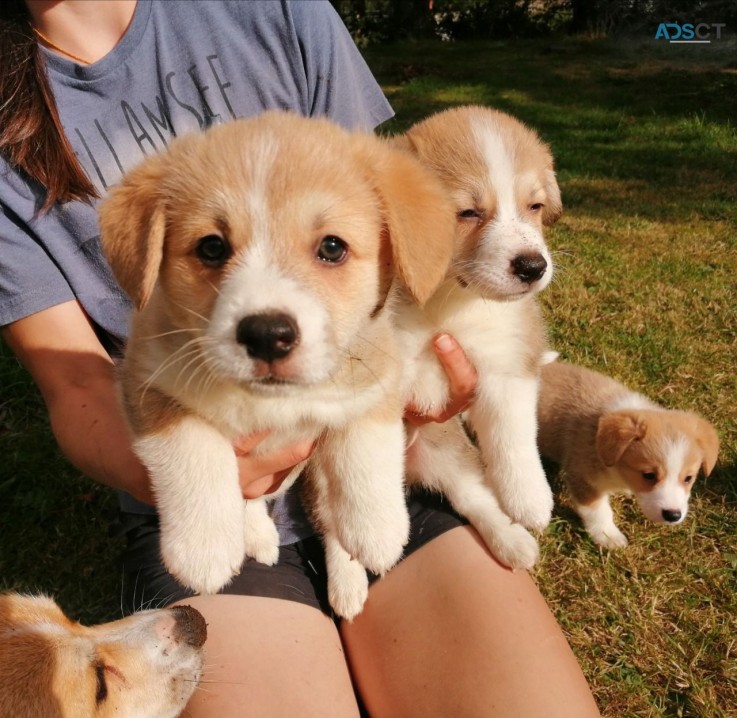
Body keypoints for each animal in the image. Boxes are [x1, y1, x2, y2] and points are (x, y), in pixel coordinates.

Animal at [536, 360, 720, 552]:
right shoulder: (582, 476)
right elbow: (598, 511)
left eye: (688, 478)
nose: (673, 515)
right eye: (649, 475)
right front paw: (608, 536)